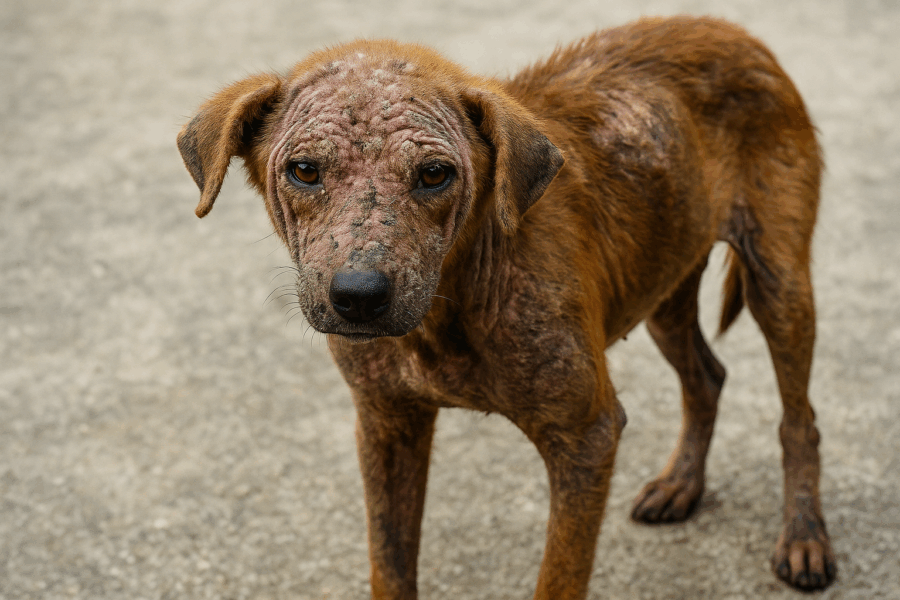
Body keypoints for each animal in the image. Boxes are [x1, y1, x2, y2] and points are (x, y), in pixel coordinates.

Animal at [178, 16, 834, 598]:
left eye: (435, 174)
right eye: (304, 170)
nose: (359, 296)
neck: (451, 308)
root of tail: (729, 28)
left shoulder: (586, 437)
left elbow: (559, 580)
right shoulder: (387, 423)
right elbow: (391, 567)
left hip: (778, 284)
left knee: (798, 418)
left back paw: (804, 538)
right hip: (663, 280)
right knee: (706, 376)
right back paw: (682, 484)